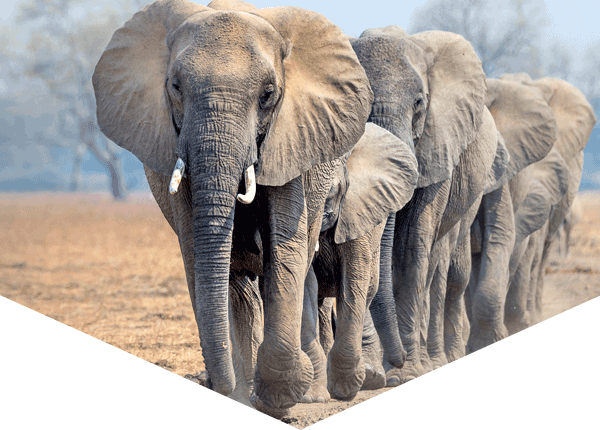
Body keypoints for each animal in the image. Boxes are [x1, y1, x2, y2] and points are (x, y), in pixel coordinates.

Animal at [91, 0, 372, 416]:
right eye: (175, 87)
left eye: (268, 94)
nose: (212, 383)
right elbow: (198, 252)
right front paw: (242, 395)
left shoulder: (290, 140)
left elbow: (284, 249)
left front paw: (280, 397)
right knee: (236, 283)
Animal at [300, 123, 418, 404]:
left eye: (332, 194)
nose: (401, 359)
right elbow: (307, 282)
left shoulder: (357, 209)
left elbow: (354, 278)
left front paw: (345, 388)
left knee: (367, 289)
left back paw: (371, 377)